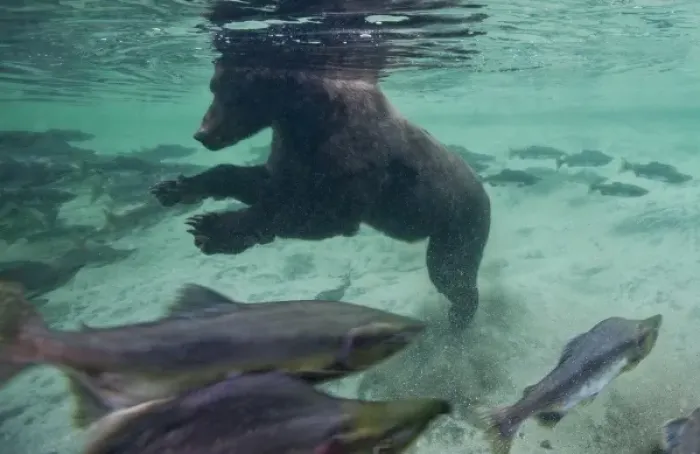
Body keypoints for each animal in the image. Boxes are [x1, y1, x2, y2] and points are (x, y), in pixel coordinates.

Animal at [151, 56, 491, 331]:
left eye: (235, 92)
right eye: (214, 86)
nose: (203, 134)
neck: (307, 117)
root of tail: (484, 191)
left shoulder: (353, 161)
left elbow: (313, 214)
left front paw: (211, 229)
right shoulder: (293, 152)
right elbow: (262, 183)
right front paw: (175, 188)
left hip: (459, 222)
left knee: (450, 273)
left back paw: (457, 320)